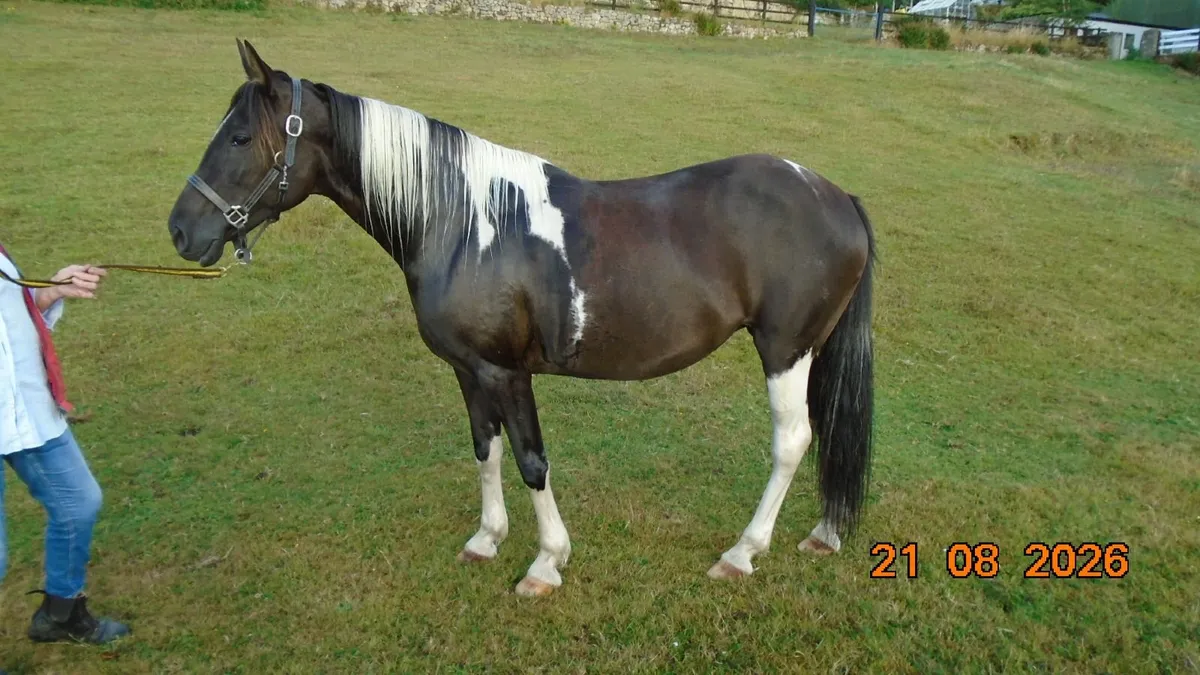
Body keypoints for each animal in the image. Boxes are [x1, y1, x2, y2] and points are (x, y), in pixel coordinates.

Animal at [166, 39, 877, 597]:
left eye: (238, 137)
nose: (180, 230)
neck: (462, 223)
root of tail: (836, 196)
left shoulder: (507, 372)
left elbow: (533, 460)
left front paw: (545, 563)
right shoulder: (468, 370)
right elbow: (486, 449)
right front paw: (487, 538)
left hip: (785, 350)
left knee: (792, 440)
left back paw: (742, 552)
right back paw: (823, 533)